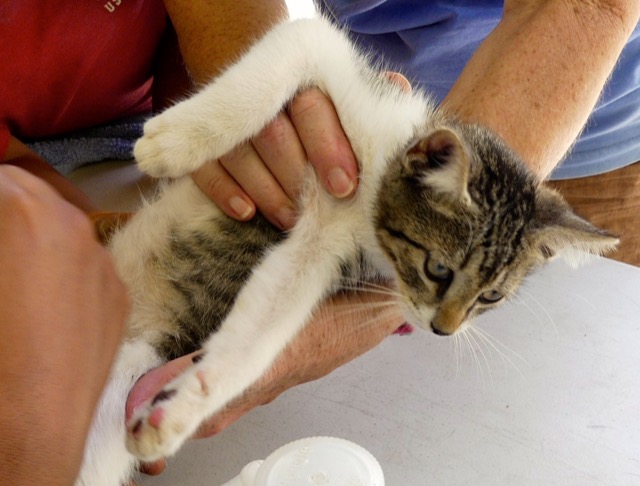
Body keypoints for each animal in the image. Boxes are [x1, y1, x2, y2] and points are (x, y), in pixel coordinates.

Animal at [74, 16, 616, 486]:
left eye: (491, 298)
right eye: (438, 269)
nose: (443, 330)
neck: (374, 178)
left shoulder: (320, 249)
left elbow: (261, 336)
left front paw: (182, 407)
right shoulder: (332, 63)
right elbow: (284, 57)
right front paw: (173, 142)